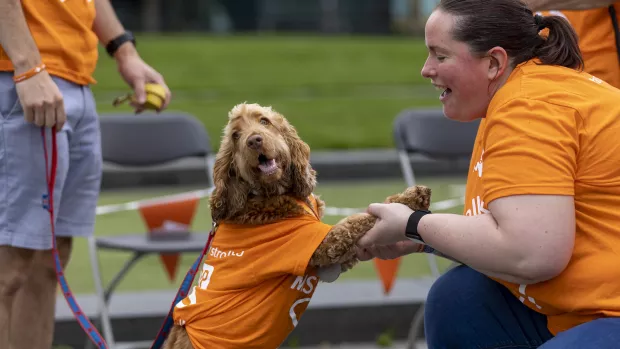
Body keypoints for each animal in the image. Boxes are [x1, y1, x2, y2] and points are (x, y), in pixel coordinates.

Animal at [161, 102, 432, 346]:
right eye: (236, 135)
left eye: (264, 121)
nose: (254, 141)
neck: (271, 195)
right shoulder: (324, 245)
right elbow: (357, 219)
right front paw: (410, 198)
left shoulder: (331, 260)